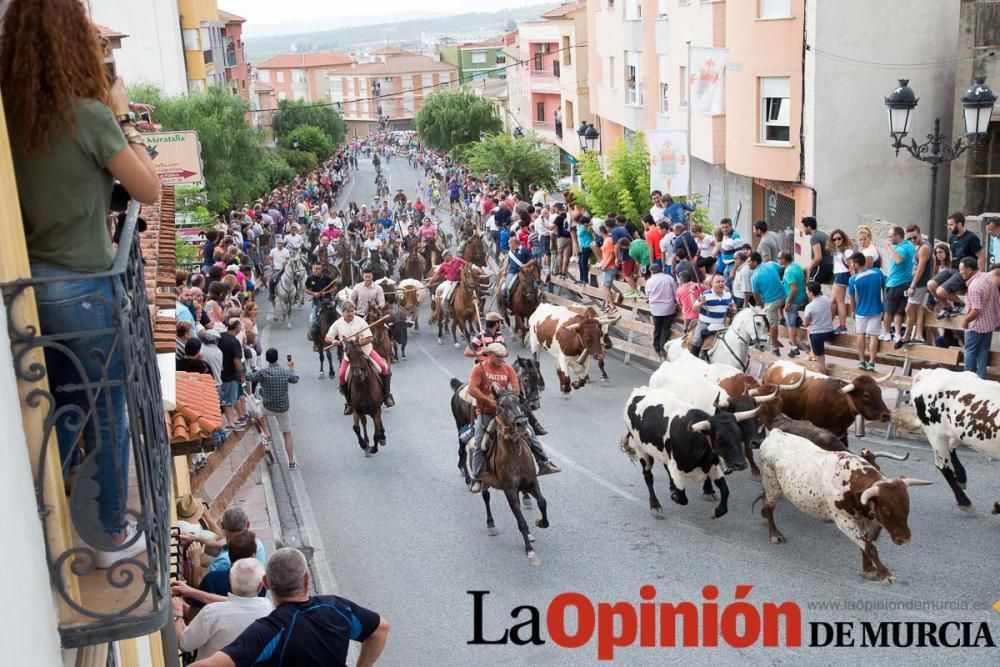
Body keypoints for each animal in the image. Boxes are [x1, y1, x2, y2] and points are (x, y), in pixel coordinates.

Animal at [616, 386, 752, 520]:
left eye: (740, 434)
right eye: (719, 437)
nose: (741, 464)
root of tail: (638, 390)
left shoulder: (712, 467)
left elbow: (725, 490)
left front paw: (717, 511)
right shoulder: (676, 469)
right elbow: (682, 498)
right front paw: (675, 496)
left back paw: (671, 488)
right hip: (640, 449)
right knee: (648, 476)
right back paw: (655, 505)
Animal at [760, 430, 932, 580]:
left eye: (907, 506)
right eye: (885, 510)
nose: (905, 539)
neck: (851, 480)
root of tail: (776, 433)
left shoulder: (862, 521)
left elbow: (865, 544)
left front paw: (869, 570)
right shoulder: (844, 521)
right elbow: (870, 547)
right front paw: (885, 574)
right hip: (772, 485)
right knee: (769, 506)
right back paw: (774, 533)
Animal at [916, 368, 1000, 516]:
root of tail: (929, 373)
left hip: (956, 432)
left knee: (951, 450)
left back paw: (961, 477)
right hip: (936, 435)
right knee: (943, 466)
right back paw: (964, 502)